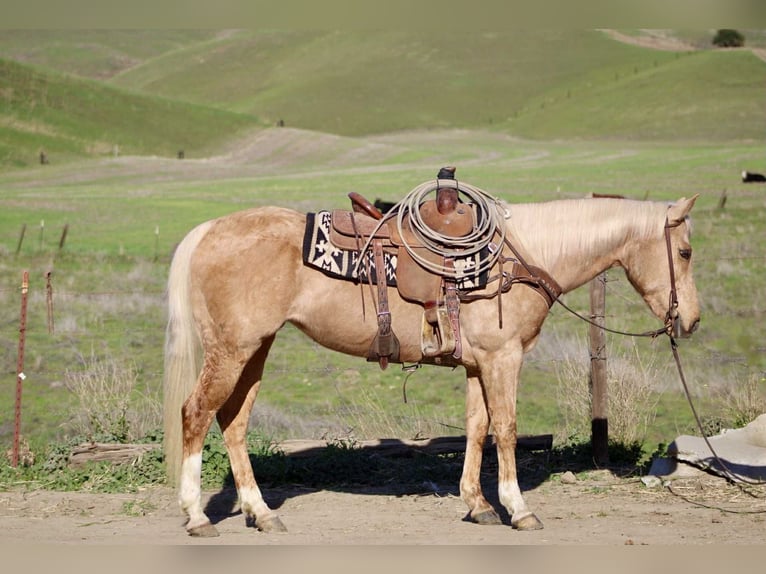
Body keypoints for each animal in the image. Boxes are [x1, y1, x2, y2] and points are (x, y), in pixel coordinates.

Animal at [163, 193, 700, 537]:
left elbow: (477, 429)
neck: (520, 258)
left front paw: (478, 505)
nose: (690, 320)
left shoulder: (479, 364)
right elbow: (506, 429)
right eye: (686, 251)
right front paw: (518, 508)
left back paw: (261, 513)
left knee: (233, 423)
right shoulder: (503, 359)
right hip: (232, 350)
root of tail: (208, 231)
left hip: (255, 349)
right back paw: (198, 517)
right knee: (196, 414)